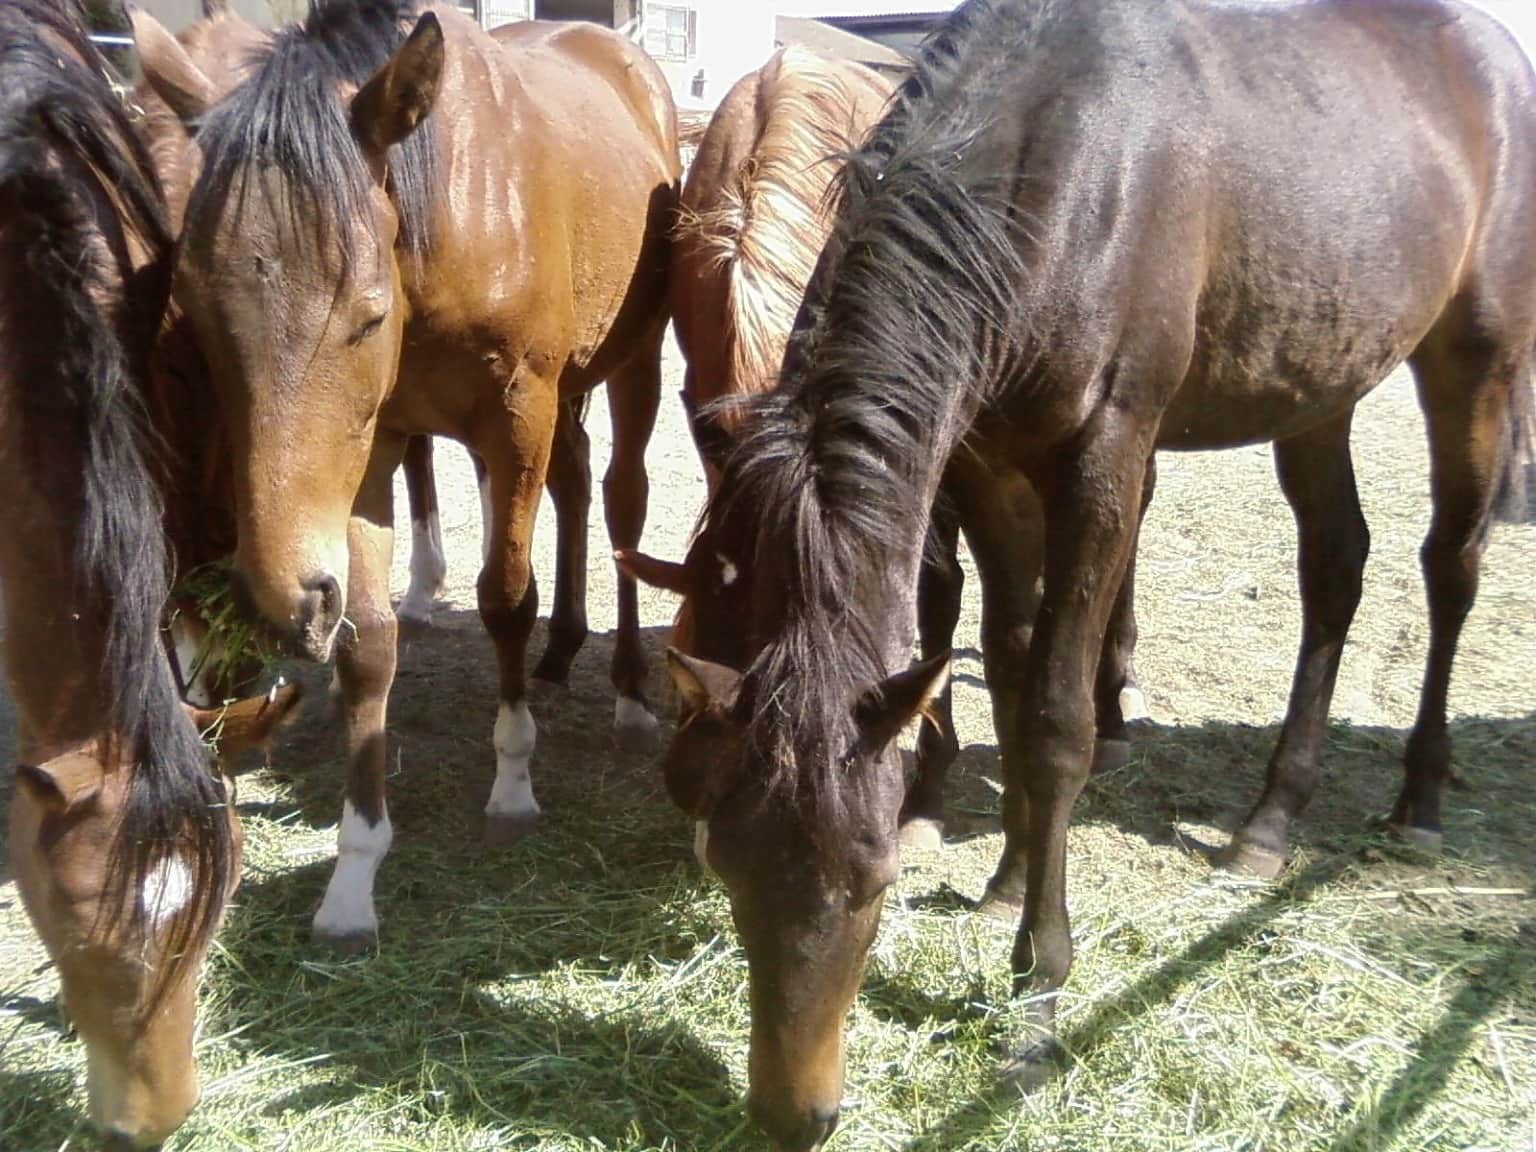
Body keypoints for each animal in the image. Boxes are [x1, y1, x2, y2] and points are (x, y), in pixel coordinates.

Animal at [133, 0, 678, 952]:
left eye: (367, 314)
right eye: (195, 310)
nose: (277, 602)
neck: (447, 224)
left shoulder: (516, 416)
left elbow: (505, 598)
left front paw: (513, 780)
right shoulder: (377, 443)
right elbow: (368, 644)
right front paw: (354, 874)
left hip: (632, 362)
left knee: (620, 504)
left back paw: (629, 695)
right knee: (575, 488)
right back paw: (563, 651)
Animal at [632, 4, 1536, 1148]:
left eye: (877, 880)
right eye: (727, 862)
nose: (797, 1115)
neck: (1051, 169)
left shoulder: (1106, 458)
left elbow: (1058, 722)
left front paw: (1038, 995)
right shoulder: (990, 464)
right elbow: (1014, 676)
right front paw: (1008, 879)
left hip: (1478, 360)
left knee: (1451, 565)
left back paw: (1419, 791)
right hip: (1317, 380)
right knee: (1335, 568)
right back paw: (1270, 821)